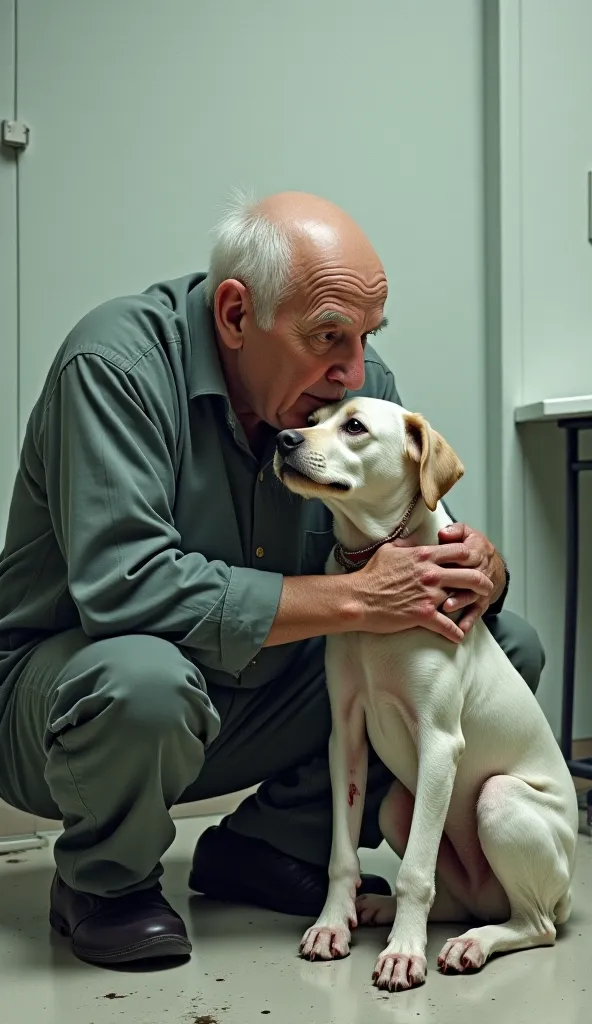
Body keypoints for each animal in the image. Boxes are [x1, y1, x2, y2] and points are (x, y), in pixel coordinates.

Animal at [274, 397, 577, 991]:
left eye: (354, 426)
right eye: (315, 416)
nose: (283, 439)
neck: (372, 559)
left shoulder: (439, 742)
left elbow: (415, 870)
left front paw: (402, 954)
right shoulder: (346, 736)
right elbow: (342, 854)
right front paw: (331, 925)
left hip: (499, 801)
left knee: (536, 925)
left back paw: (472, 944)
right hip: (398, 805)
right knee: (458, 900)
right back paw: (381, 910)